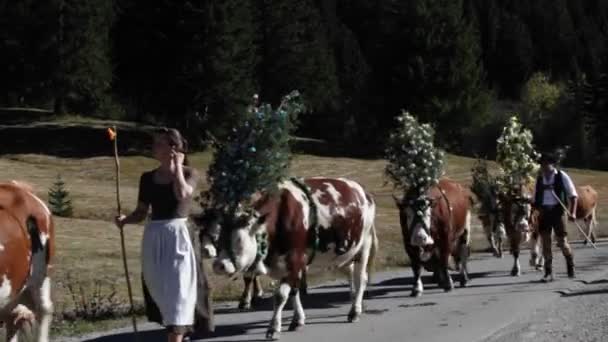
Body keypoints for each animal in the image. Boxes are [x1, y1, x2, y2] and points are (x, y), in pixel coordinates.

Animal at [211, 178, 378, 340]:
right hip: (345, 252)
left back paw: (355, 311)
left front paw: (274, 328)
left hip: (364, 246)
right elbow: (294, 292)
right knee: (350, 275)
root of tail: (364, 192)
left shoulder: (295, 260)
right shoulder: (287, 264)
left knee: (361, 278)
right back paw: (355, 301)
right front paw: (297, 320)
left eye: (239, 240)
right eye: (219, 237)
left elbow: (280, 296)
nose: (219, 265)